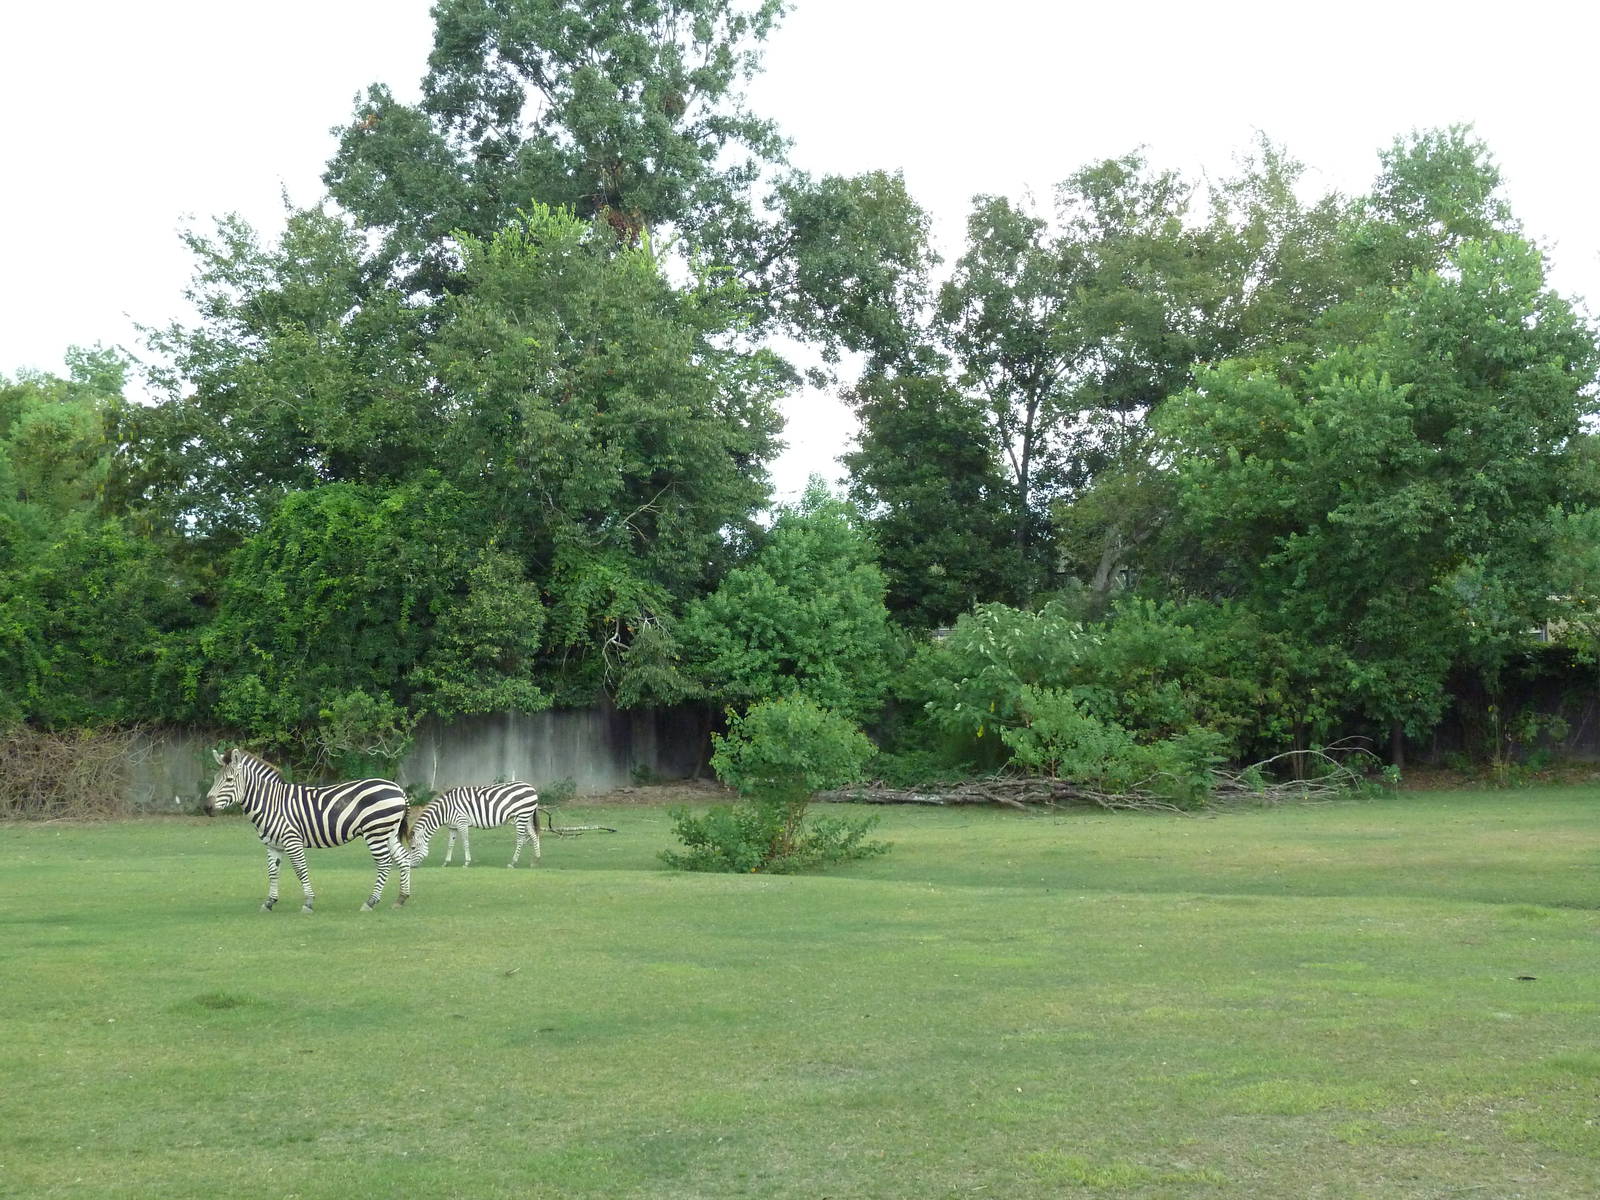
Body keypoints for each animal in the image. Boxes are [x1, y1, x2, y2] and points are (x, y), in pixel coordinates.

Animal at [204, 747, 413, 912]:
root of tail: (398, 788)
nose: (206, 808)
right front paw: (270, 902)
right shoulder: (273, 844)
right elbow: (273, 872)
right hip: (388, 832)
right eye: (214, 779)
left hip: (375, 832)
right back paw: (401, 899)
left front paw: (309, 902)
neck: (271, 803)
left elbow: (300, 870)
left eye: (229, 779)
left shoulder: (292, 840)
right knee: (403, 859)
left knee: (384, 863)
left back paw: (371, 902)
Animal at [409, 783, 547, 868]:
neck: (445, 810)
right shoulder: (452, 827)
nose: (411, 867)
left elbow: (465, 842)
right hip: (527, 816)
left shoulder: (462, 822)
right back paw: (536, 860)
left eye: (413, 848)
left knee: (520, 839)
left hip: (521, 816)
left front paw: (466, 862)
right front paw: (446, 863)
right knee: (534, 836)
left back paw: (513, 863)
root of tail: (531, 787)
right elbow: (450, 844)